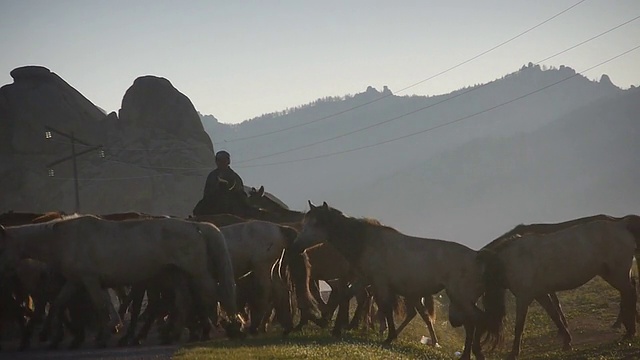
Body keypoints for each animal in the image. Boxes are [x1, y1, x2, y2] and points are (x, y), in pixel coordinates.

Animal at [0, 215, 240, 348]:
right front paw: (56, 338)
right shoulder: (76, 282)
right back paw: (174, 335)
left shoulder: (89, 280)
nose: (5, 274)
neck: (65, 238)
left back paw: (230, 327)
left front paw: (104, 337)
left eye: (2, 246)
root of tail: (196, 227)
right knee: (185, 302)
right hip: (177, 275)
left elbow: (99, 306)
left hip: (196, 272)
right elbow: (59, 303)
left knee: (215, 294)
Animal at [290, 202, 484, 360]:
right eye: (305, 223)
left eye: (317, 223)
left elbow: (386, 308)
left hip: (458, 295)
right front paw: (332, 326)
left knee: (473, 320)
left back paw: (467, 353)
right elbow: (346, 295)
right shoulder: (365, 279)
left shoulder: (381, 283)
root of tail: (477, 258)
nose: (297, 245)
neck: (365, 241)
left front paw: (389, 337)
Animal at [480, 218, 640, 358]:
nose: (489, 343)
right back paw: (628, 329)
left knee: (630, 294)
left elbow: (519, 325)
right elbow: (554, 315)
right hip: (612, 275)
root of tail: (621, 225)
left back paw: (629, 333)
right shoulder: (540, 294)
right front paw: (567, 342)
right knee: (628, 295)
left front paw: (513, 353)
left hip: (617, 275)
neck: (513, 259)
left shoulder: (523, 298)